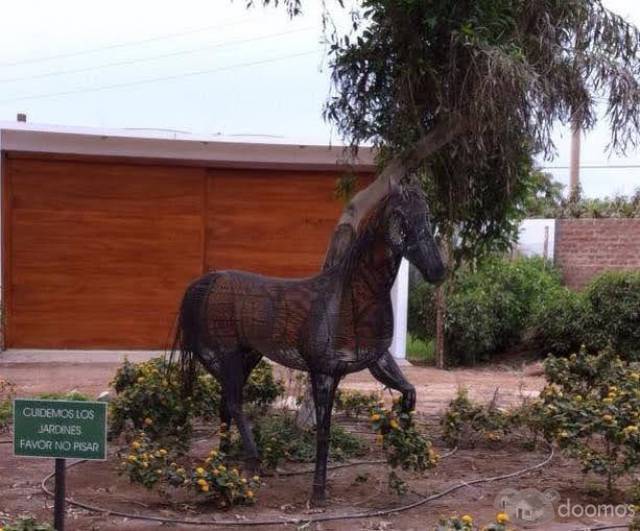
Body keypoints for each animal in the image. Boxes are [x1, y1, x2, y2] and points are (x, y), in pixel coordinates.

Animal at [170, 185, 444, 504]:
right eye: (399, 214)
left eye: (427, 213)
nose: (437, 271)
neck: (350, 300)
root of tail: (207, 282)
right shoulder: (323, 372)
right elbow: (324, 431)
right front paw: (318, 494)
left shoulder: (377, 361)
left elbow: (409, 393)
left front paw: (402, 439)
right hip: (224, 356)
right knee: (235, 403)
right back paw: (251, 462)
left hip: (246, 357)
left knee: (225, 405)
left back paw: (223, 463)